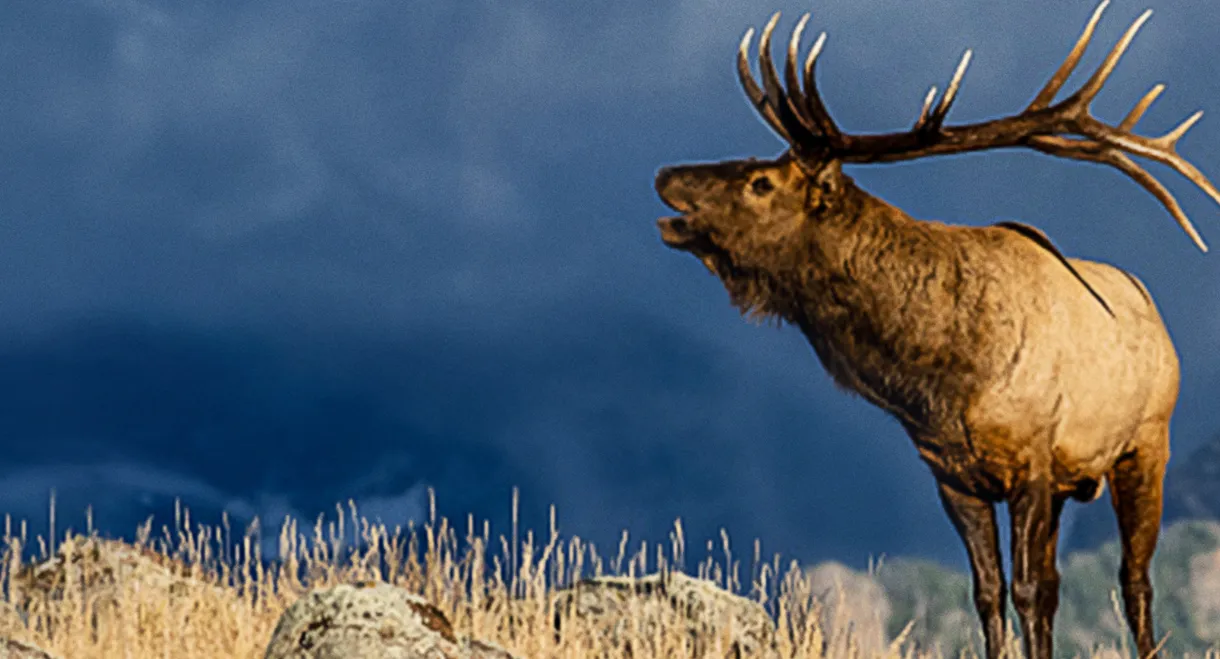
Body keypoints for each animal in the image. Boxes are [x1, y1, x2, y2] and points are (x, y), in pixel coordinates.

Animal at [653, 3, 1218, 659]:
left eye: (761, 183)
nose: (667, 172)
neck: (942, 380)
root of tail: (1152, 306)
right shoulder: (952, 474)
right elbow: (990, 593)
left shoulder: (1032, 459)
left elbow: (1028, 589)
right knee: (1061, 580)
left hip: (1147, 441)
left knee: (1134, 580)